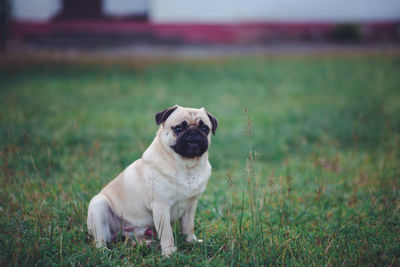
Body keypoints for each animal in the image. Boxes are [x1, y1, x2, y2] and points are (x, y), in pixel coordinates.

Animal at [88, 105, 219, 258]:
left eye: (205, 128)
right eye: (179, 128)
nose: (193, 132)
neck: (187, 166)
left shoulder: (191, 205)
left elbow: (188, 226)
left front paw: (191, 241)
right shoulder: (161, 207)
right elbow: (167, 233)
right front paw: (169, 252)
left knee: (133, 237)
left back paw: (147, 243)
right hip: (98, 205)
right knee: (100, 239)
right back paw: (104, 251)